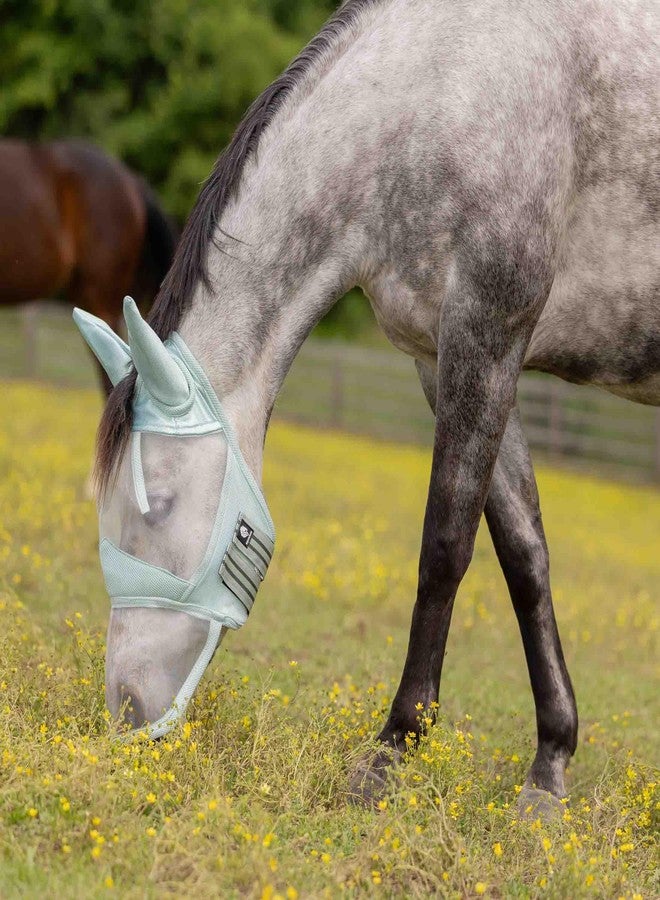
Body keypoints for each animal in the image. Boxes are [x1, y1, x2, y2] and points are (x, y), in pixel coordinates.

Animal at [83, 0, 658, 814]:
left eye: (157, 505)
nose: (127, 713)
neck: (441, 90)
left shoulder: (486, 335)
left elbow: (445, 547)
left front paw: (393, 749)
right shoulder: (446, 359)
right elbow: (524, 555)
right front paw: (548, 768)